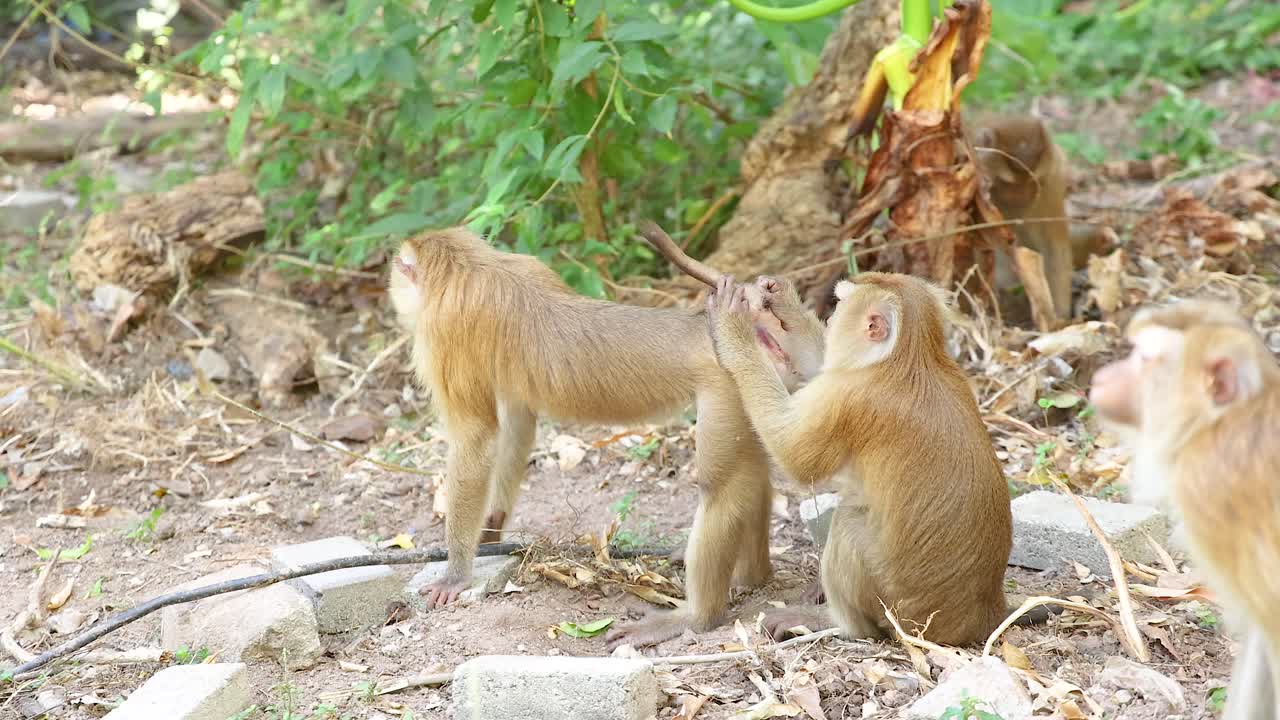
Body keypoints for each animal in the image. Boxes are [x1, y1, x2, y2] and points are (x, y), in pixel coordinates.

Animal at [387, 225, 825, 649]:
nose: (392, 285)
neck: (466, 266)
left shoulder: (444, 331)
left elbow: (475, 436)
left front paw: (456, 573)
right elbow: (518, 418)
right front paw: (492, 528)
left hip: (726, 384)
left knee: (723, 489)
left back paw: (697, 617)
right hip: (748, 384)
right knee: (752, 476)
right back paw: (753, 576)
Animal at [704, 270, 1015, 645]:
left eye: (839, 305)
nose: (831, 318)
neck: (912, 358)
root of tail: (982, 616)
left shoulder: (850, 397)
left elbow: (796, 455)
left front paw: (733, 326)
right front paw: (782, 301)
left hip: (898, 609)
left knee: (848, 523)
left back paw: (838, 624)